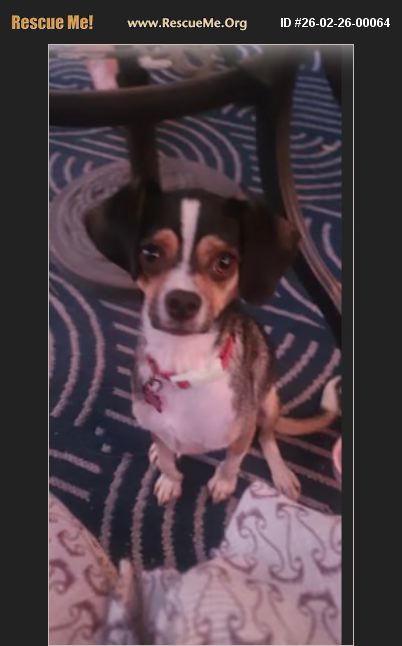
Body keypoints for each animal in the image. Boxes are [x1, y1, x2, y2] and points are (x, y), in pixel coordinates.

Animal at [87, 181, 340, 505]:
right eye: (151, 253)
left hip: (268, 401)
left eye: (224, 262)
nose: (182, 302)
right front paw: (170, 480)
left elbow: (232, 461)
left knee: (267, 437)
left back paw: (281, 473)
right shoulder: (158, 427)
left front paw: (223, 483)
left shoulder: (242, 433)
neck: (184, 366)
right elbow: (168, 461)